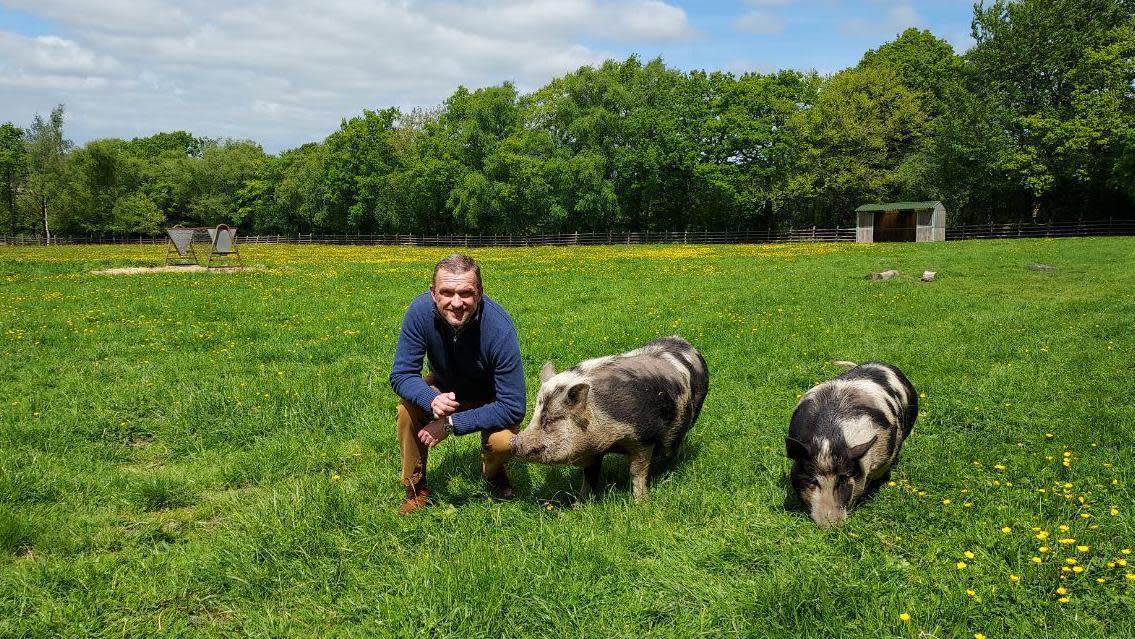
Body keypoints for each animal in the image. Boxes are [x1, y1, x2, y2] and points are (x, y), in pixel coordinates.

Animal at [510, 338, 703, 501]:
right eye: (534, 415)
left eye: (549, 420)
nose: (514, 442)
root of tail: (685, 343)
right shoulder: (593, 450)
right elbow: (590, 476)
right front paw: (579, 504)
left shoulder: (644, 437)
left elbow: (637, 472)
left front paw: (641, 502)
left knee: (675, 446)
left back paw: (670, 470)